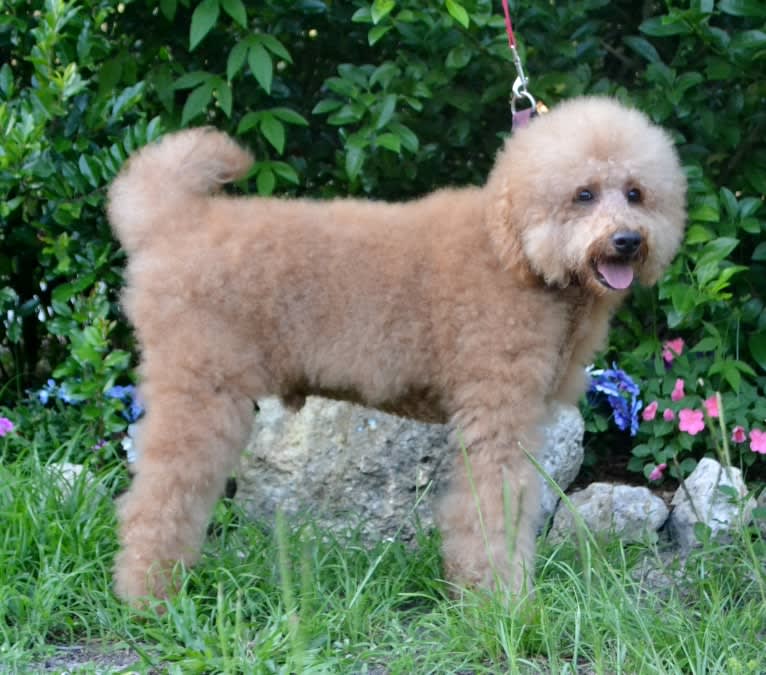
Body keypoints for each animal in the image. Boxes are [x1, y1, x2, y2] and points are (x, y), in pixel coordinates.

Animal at [105, 93, 688, 604]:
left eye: (635, 193)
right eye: (583, 194)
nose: (627, 241)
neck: (517, 254)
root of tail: (174, 221)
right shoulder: (496, 416)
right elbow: (492, 509)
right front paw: (503, 602)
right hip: (200, 391)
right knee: (157, 501)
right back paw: (149, 598)